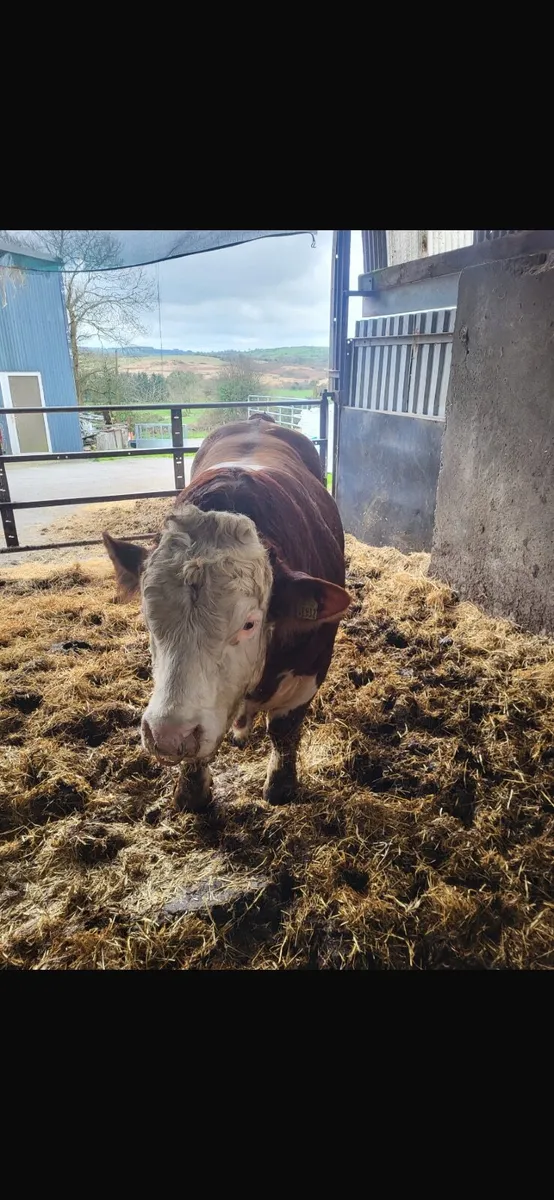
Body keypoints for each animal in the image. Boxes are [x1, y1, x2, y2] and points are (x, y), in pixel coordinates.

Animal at [102, 414, 350, 810]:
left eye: (249, 624)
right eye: (149, 619)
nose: (168, 735)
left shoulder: (310, 671)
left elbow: (284, 732)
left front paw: (280, 787)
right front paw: (191, 793)